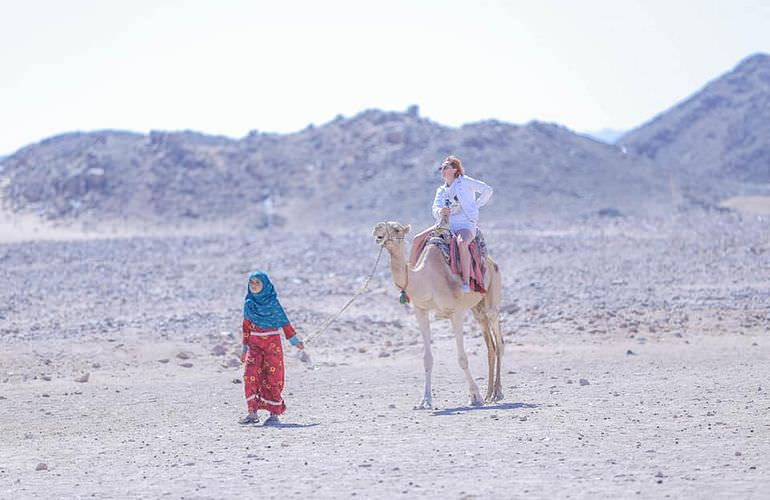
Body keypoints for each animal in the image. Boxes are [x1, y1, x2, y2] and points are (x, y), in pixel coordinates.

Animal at [372, 221, 504, 408]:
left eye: (397, 229)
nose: (377, 232)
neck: (427, 279)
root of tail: (491, 262)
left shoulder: (456, 314)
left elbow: (462, 358)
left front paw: (474, 396)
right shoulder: (420, 311)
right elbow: (427, 358)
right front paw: (425, 400)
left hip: (492, 294)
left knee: (499, 342)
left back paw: (497, 393)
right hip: (478, 310)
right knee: (490, 345)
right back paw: (489, 393)